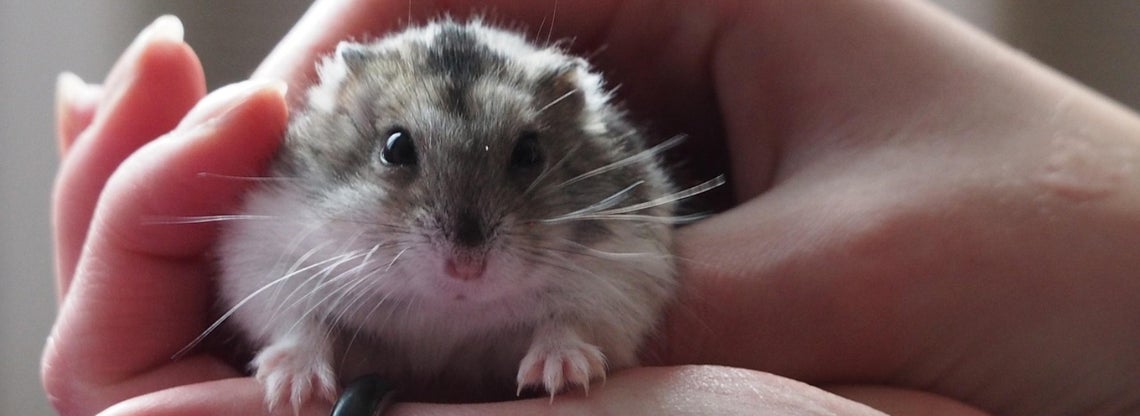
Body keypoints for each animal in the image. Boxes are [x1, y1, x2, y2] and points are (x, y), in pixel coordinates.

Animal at [215, 19, 702, 410]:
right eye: (395, 147)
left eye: (529, 153)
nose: (466, 269)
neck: (446, 310)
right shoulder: (267, 257)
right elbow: (301, 322)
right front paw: (293, 390)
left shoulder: (624, 277)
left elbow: (570, 320)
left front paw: (560, 375)